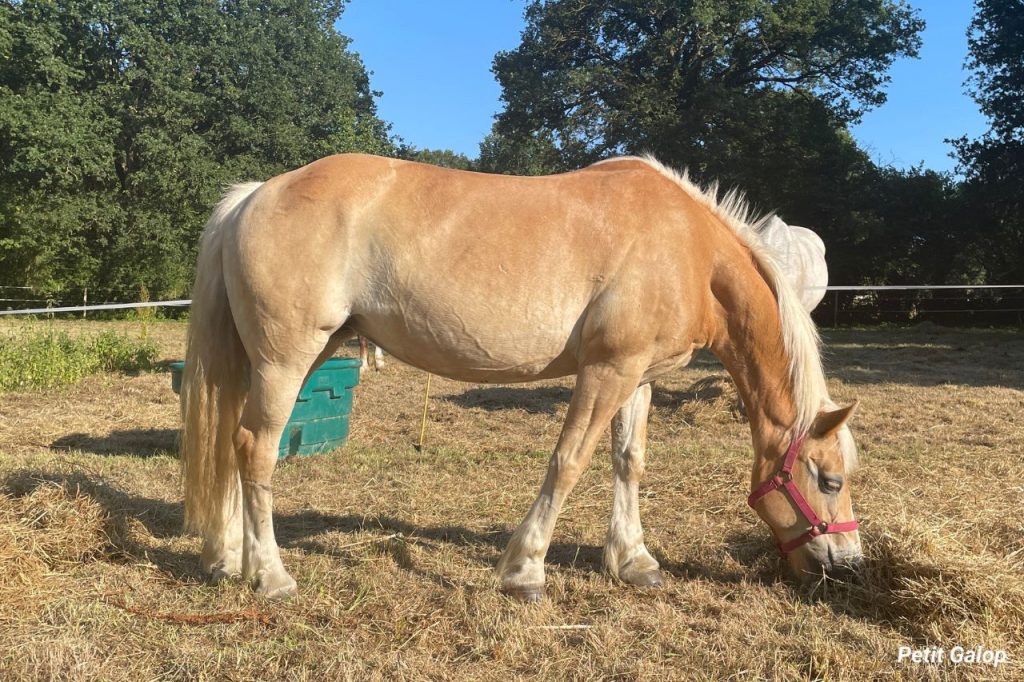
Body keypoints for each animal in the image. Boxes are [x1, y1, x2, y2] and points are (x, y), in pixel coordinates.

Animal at [180, 154, 861, 601]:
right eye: (828, 479)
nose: (847, 565)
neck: (688, 249)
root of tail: (255, 193)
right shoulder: (606, 370)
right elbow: (569, 461)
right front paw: (525, 570)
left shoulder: (638, 376)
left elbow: (628, 463)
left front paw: (632, 560)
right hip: (287, 359)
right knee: (256, 448)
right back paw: (269, 575)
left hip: (295, 356)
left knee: (234, 444)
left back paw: (227, 558)